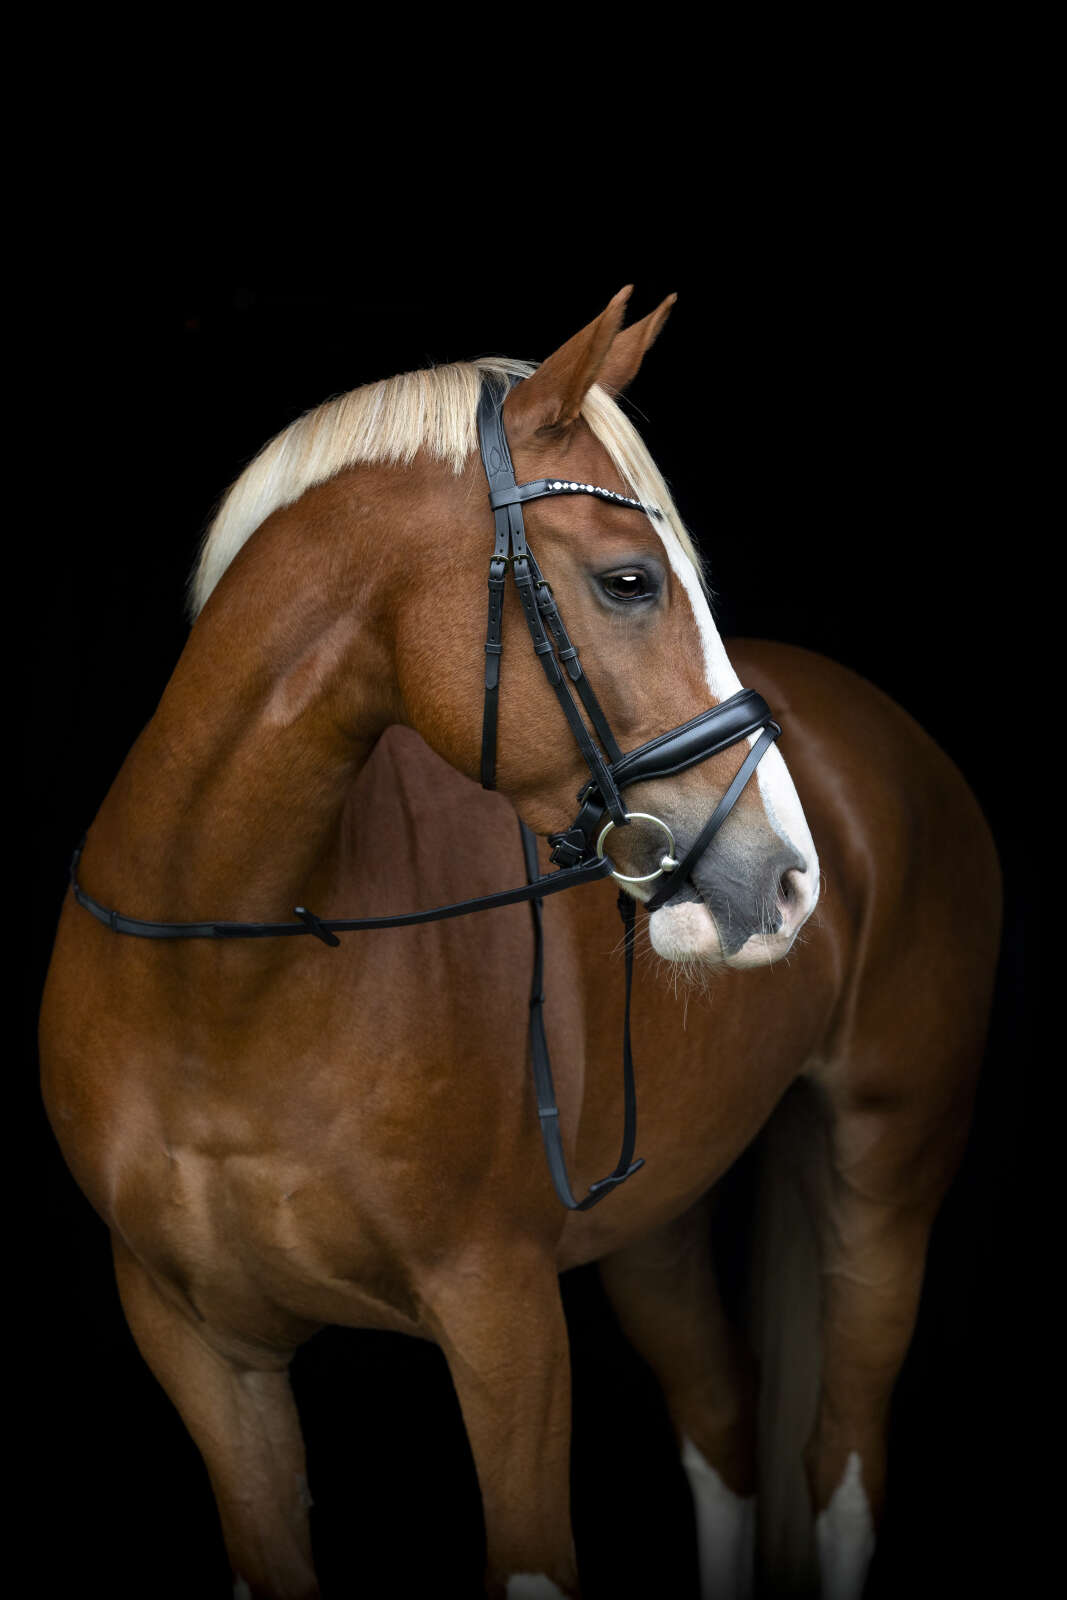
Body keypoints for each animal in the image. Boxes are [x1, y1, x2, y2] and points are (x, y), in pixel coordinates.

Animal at [39, 287, 1001, 1599]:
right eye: (630, 579)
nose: (788, 880)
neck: (221, 980)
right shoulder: (200, 1348)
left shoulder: (504, 1322)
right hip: (657, 1218)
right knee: (723, 1434)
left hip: (885, 1177)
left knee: (839, 1471)